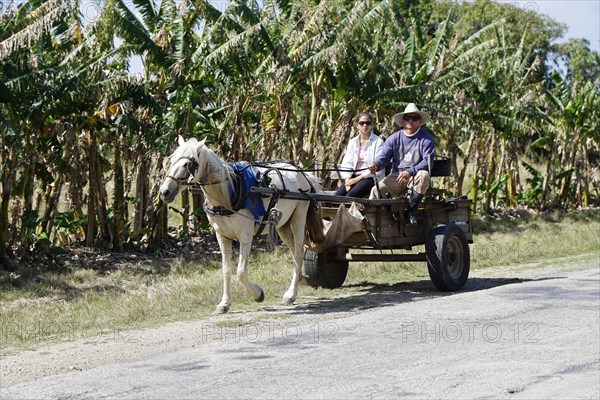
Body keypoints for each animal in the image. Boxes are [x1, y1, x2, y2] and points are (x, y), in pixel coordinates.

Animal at [159, 136, 324, 314]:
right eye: (171, 160)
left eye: (188, 164)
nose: (164, 192)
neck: (228, 194)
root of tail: (303, 173)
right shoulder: (222, 237)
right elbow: (226, 270)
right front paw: (224, 303)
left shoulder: (245, 236)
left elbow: (241, 272)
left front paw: (258, 294)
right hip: (282, 226)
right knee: (294, 253)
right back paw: (300, 280)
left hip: (298, 217)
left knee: (299, 253)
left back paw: (291, 294)